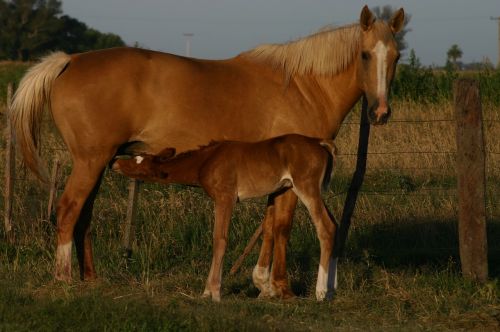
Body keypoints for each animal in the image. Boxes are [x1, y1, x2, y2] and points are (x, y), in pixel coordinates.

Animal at [113, 134, 338, 300]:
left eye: (138, 165)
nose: (115, 164)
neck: (205, 161)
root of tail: (320, 143)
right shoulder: (221, 199)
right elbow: (217, 239)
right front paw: (206, 291)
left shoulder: (226, 197)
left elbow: (219, 239)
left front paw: (214, 292)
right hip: (304, 189)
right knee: (335, 225)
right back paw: (331, 289)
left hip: (306, 187)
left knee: (325, 227)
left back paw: (321, 292)